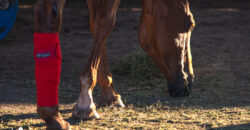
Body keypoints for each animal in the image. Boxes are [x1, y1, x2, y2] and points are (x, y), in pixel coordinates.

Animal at [34, 0, 195, 129]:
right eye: (189, 24)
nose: (187, 83)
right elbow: (105, 24)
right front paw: (86, 102)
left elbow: (96, 27)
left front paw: (109, 94)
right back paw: (53, 116)